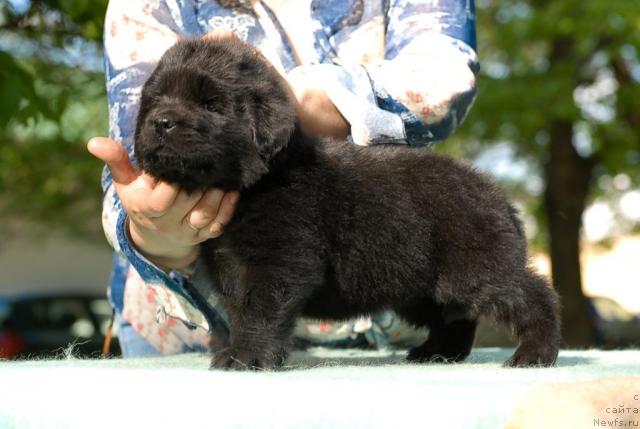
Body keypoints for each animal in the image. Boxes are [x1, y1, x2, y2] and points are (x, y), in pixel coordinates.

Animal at [134, 38, 560, 370]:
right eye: (154, 101)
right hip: (420, 285)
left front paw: (248, 356)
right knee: (454, 316)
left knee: (532, 294)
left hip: (478, 267)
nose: (162, 121)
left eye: (211, 104)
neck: (256, 183)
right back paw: (438, 353)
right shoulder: (227, 264)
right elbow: (239, 308)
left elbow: (260, 306)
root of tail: (500, 199)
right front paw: (239, 351)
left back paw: (535, 353)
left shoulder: (281, 257)